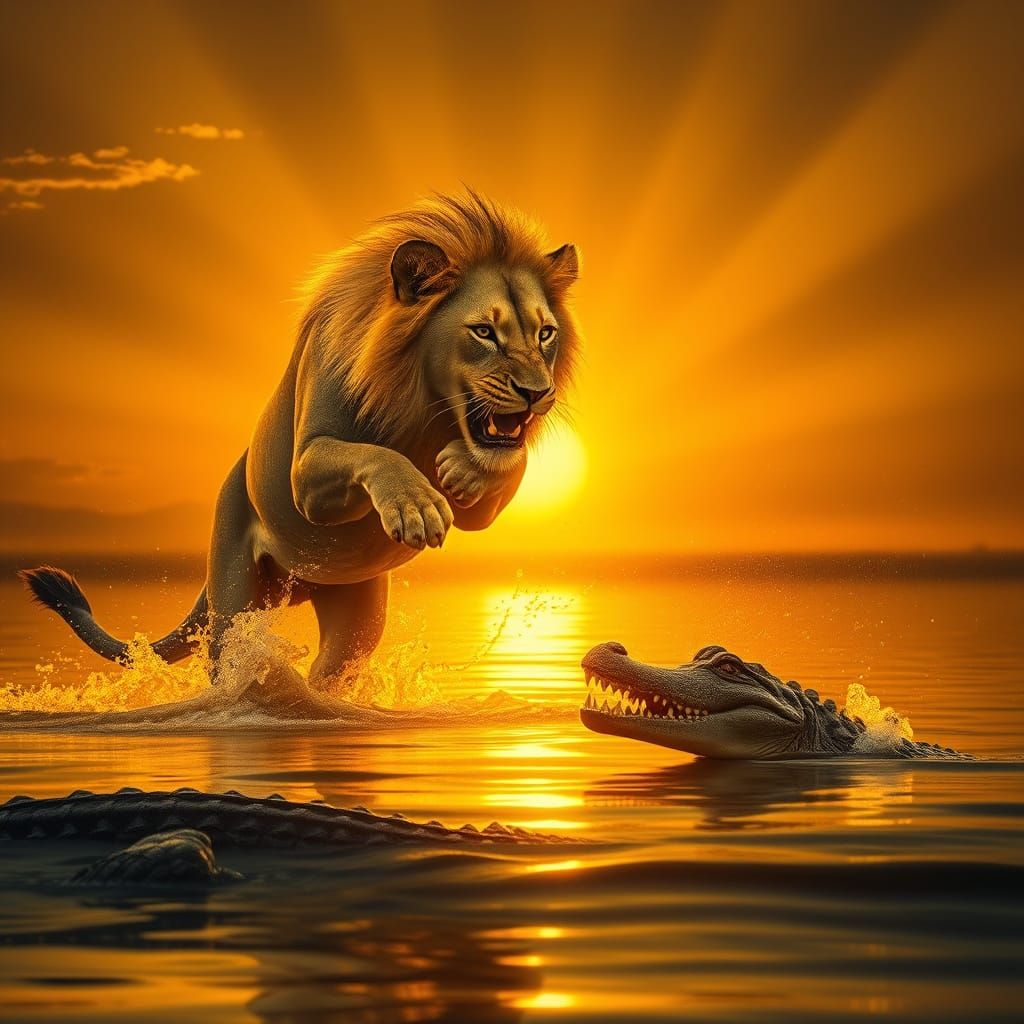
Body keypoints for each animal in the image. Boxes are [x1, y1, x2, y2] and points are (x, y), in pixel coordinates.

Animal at [20, 191, 580, 717]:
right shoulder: (308, 474)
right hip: (233, 598)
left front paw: (463, 471)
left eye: (545, 333)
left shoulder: (480, 500)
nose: (537, 393)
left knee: (328, 675)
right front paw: (416, 506)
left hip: (357, 616)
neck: (423, 408)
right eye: (483, 332)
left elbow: (509, 467)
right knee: (232, 665)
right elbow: (375, 455)